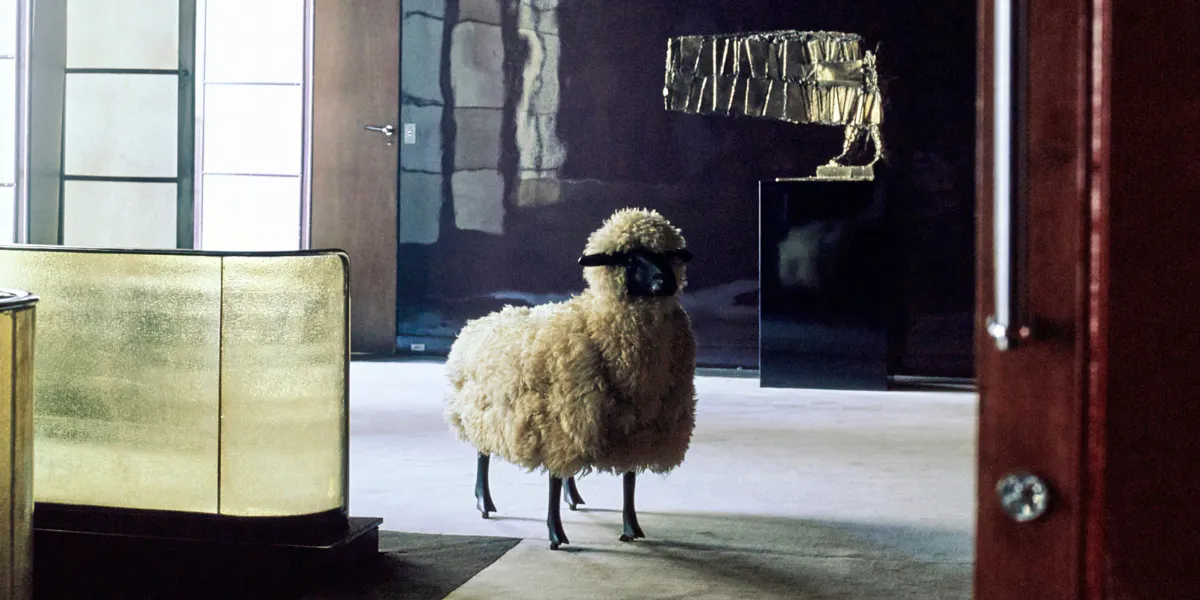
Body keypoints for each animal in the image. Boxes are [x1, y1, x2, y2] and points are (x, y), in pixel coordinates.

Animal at [443, 207, 698, 549]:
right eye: (630, 258)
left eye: (668, 255)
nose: (666, 280)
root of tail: (477, 323)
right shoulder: (553, 426)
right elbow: (551, 482)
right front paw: (555, 533)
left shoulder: (633, 429)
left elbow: (629, 480)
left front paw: (631, 527)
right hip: (486, 414)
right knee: (483, 456)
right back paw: (484, 501)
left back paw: (573, 495)